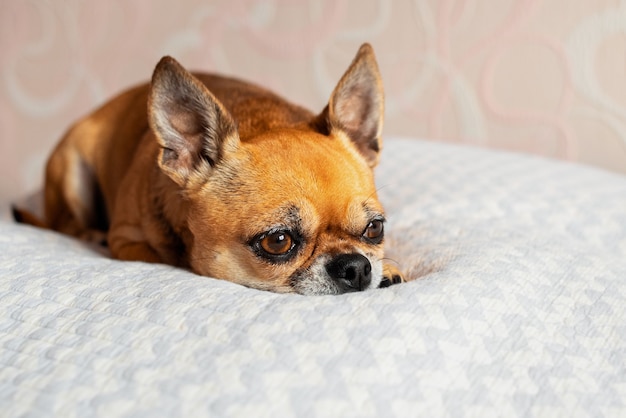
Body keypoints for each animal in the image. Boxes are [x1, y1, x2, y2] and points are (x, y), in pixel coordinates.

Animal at [15, 43, 404, 294]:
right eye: (278, 241)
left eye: (375, 229)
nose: (356, 267)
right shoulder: (125, 239)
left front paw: (388, 269)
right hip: (71, 173)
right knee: (67, 223)